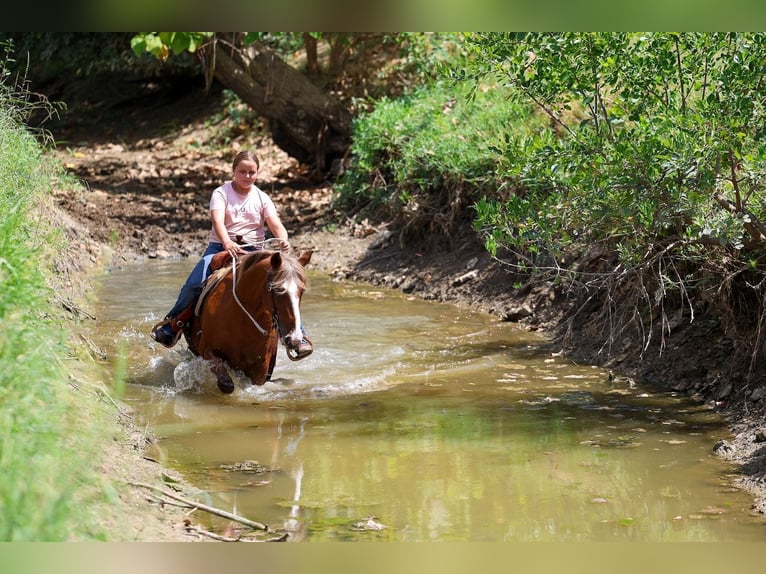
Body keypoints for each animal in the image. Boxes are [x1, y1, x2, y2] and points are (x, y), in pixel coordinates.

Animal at [183, 248, 313, 394]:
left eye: (302, 290)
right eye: (278, 289)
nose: (294, 339)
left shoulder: (260, 367)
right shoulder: (207, 350)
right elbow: (226, 384)